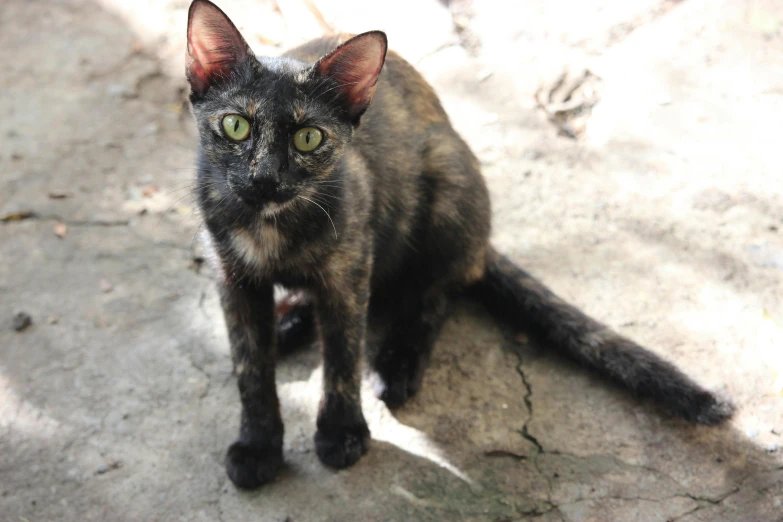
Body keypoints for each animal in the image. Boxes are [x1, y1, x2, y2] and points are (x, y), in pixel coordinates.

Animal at [185, 0, 736, 488]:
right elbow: (250, 368)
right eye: (236, 125)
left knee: (439, 291)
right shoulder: (231, 279)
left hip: (448, 185)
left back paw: (396, 363)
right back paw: (290, 323)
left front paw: (342, 433)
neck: (269, 227)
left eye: (307, 138)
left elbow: (341, 358)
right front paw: (257, 446)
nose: (265, 178)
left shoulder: (349, 270)